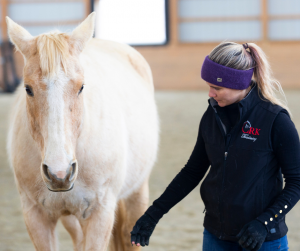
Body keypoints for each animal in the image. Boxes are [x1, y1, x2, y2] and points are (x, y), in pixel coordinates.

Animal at [5, 12, 159, 251]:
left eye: (81, 87)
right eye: (28, 89)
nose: (59, 174)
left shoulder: (100, 214)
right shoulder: (36, 216)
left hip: (137, 194)